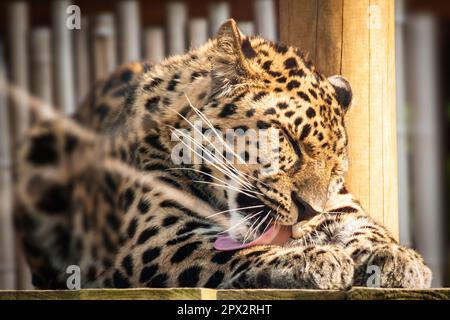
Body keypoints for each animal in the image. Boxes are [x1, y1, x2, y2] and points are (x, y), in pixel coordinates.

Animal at [14, 19, 430, 290]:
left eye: (335, 169)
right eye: (289, 141)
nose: (309, 212)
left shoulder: (342, 205)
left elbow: (364, 225)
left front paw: (398, 258)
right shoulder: (157, 240)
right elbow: (236, 253)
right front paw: (313, 259)